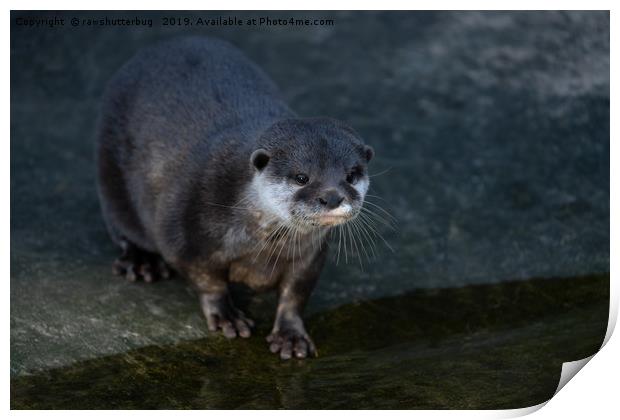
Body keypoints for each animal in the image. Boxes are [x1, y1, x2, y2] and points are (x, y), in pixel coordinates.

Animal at [97, 36, 372, 360]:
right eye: (302, 177)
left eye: (351, 175)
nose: (332, 197)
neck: (258, 244)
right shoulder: (183, 236)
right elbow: (207, 280)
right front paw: (227, 316)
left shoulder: (310, 255)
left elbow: (296, 293)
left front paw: (290, 335)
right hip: (112, 174)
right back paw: (142, 263)